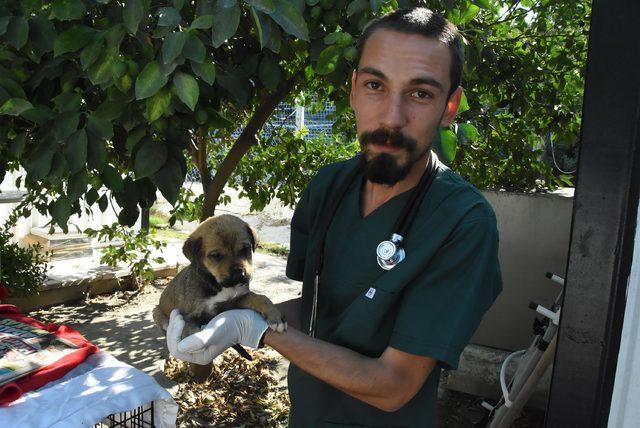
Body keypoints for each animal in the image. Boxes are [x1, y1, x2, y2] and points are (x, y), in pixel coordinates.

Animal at [152, 214, 284, 382]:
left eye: (245, 249)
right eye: (215, 256)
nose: (241, 275)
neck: (218, 285)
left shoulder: (237, 300)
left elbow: (260, 297)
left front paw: (275, 316)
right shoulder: (190, 316)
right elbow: (191, 334)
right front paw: (194, 354)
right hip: (156, 312)